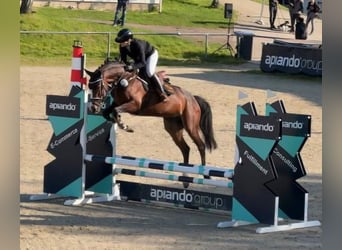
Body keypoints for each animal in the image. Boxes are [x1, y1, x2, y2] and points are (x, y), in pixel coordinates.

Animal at [85, 59, 218, 187]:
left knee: (200, 146)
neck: (124, 79)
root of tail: (193, 98)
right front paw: (115, 122)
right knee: (185, 148)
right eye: (89, 86)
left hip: (190, 125)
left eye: (97, 86)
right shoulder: (117, 103)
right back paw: (185, 179)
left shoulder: (134, 105)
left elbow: (115, 110)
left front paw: (125, 126)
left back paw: (205, 175)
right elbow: (108, 112)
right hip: (173, 128)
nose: (93, 108)